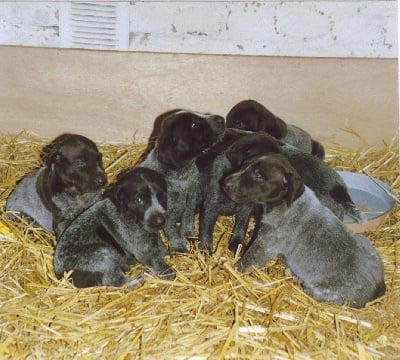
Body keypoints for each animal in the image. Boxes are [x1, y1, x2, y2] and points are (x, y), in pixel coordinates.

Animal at [141, 109, 227, 253]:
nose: (222, 119)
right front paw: (180, 246)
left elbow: (187, 218)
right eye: (193, 124)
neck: (183, 176)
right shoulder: (167, 213)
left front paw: (189, 234)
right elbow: (173, 231)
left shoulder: (191, 198)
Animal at [223, 153, 386, 308]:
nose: (225, 184)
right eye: (244, 165)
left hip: (321, 290)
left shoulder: (265, 246)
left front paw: (232, 271)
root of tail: (377, 288)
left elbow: (246, 262)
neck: (286, 204)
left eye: (258, 176)